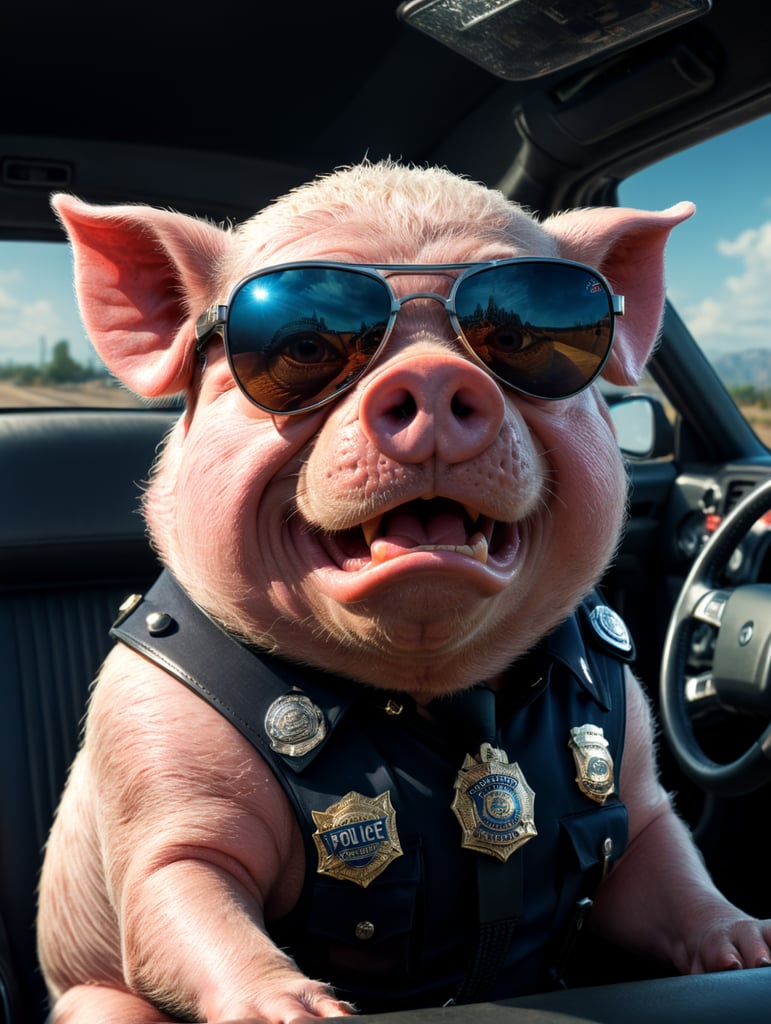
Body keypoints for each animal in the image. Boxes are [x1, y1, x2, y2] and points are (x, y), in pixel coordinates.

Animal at [39, 159, 769, 1024]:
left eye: (513, 337)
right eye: (307, 344)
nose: (431, 373)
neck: (436, 694)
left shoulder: (631, 765)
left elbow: (668, 864)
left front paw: (751, 946)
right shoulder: (151, 749)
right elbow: (181, 885)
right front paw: (301, 1011)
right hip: (89, 995)